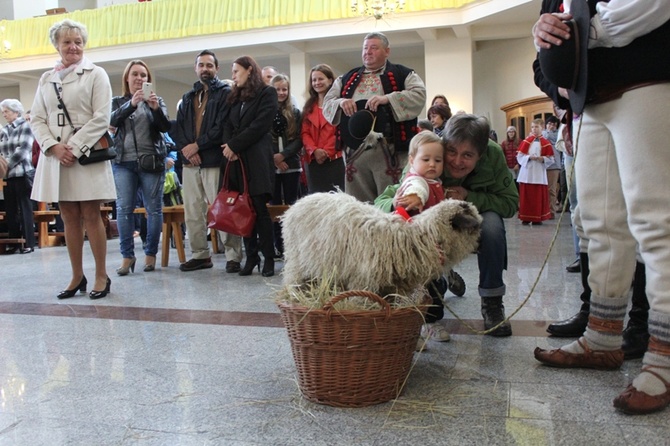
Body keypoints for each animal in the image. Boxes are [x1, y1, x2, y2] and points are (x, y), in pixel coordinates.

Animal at [280, 193, 480, 298]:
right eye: (469, 223)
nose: (480, 225)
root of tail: (298, 202)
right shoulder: (363, 282)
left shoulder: (389, 288)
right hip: (297, 260)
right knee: (292, 280)